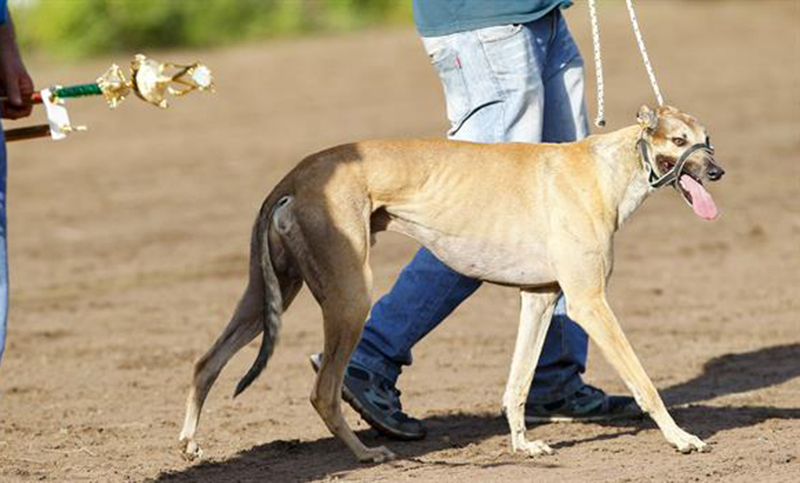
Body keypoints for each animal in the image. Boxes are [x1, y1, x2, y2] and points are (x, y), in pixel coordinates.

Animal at [178, 107, 720, 466]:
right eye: (677, 140)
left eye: (706, 137)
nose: (717, 170)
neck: (606, 169)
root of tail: (294, 176)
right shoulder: (590, 303)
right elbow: (643, 381)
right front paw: (681, 438)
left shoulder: (540, 298)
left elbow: (518, 383)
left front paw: (522, 444)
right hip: (351, 297)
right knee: (323, 392)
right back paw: (366, 453)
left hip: (269, 293)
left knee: (207, 361)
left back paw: (189, 443)